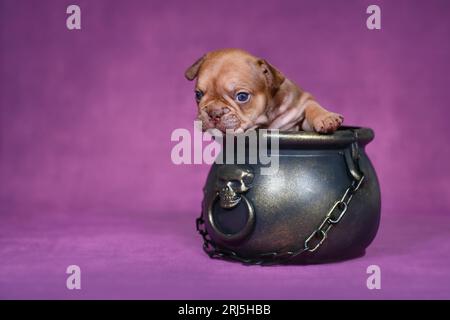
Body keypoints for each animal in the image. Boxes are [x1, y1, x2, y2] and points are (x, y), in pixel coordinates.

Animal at [185, 48, 342, 133]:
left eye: (242, 97)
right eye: (198, 94)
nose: (214, 112)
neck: (266, 121)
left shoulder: (300, 108)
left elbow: (312, 106)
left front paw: (326, 118)